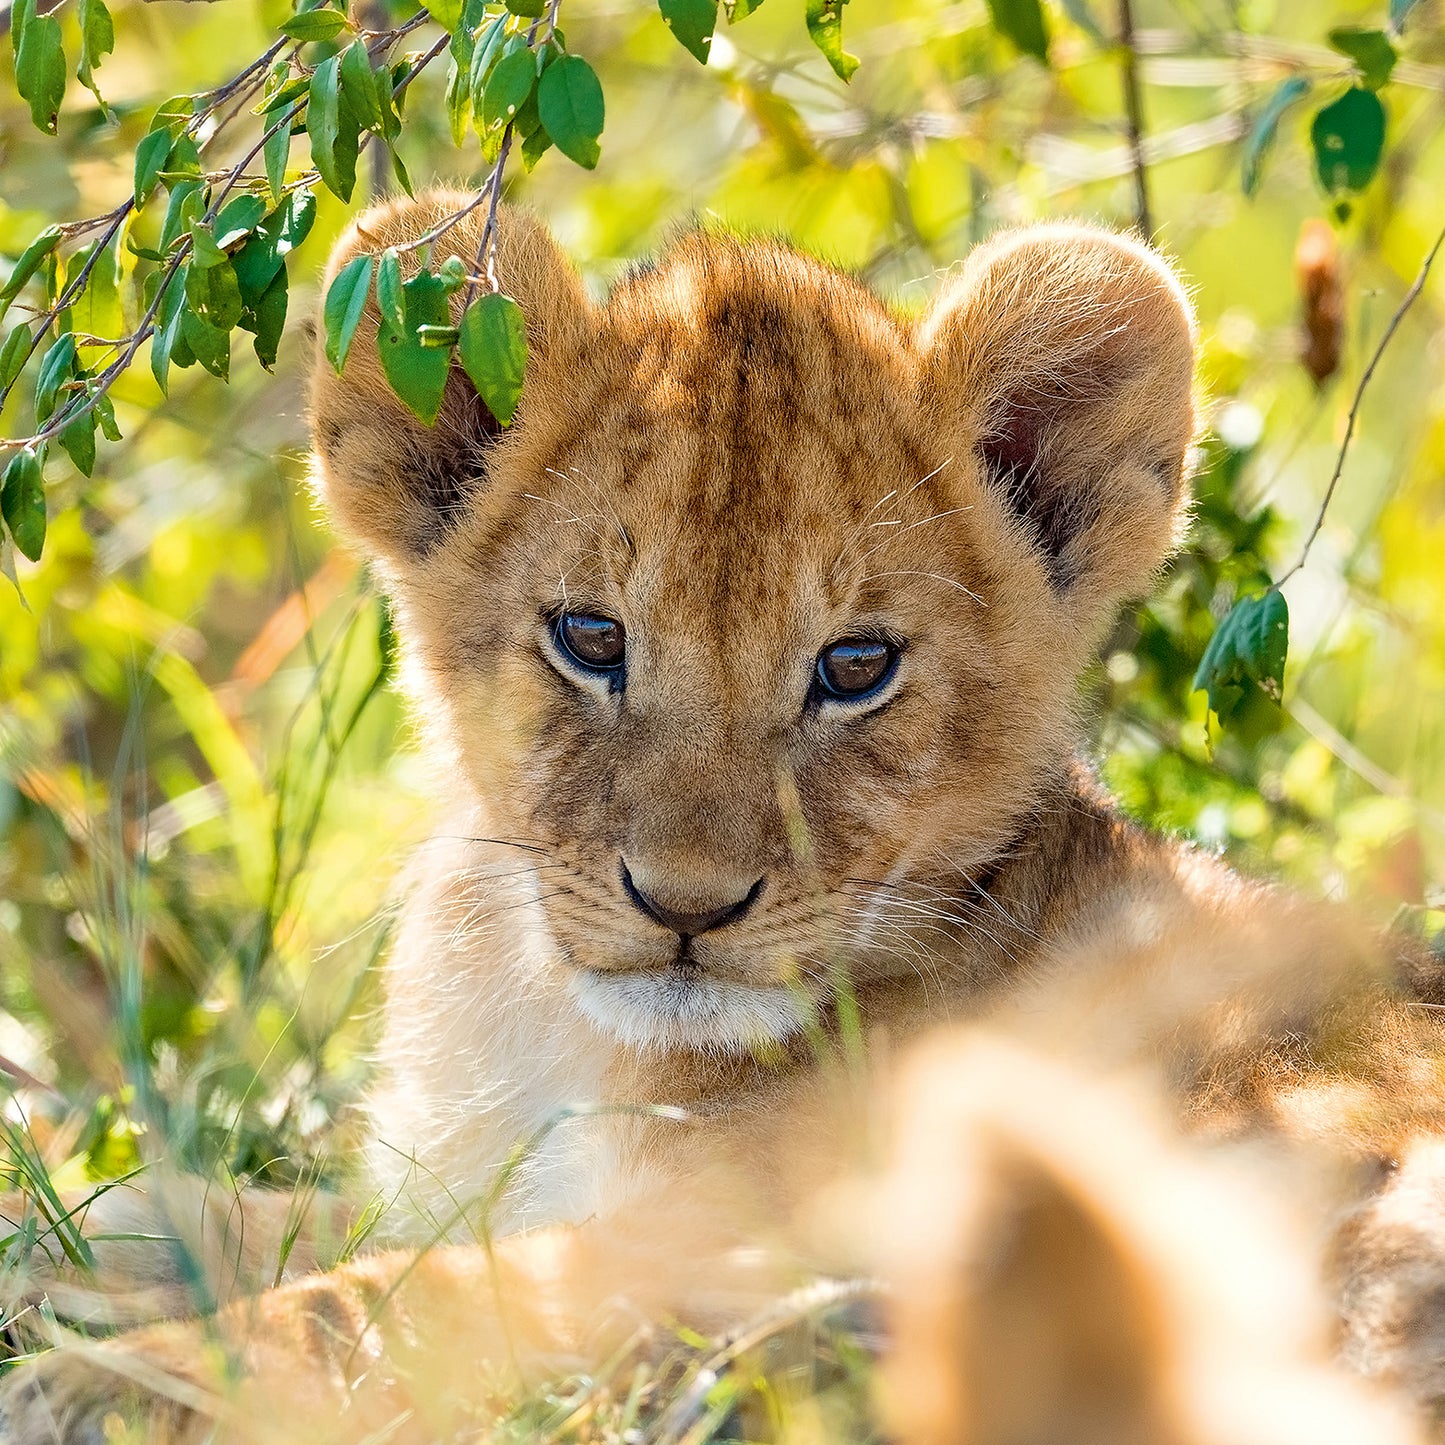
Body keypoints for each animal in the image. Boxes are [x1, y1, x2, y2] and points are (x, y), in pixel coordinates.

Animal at [2, 191, 1444, 1443]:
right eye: (590, 638)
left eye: (855, 666)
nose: (685, 907)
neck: (545, 1021)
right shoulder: (454, 1183)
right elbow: (217, 1213)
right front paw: (58, 1245)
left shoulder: (721, 1241)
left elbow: (392, 1304)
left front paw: (100, 1379)